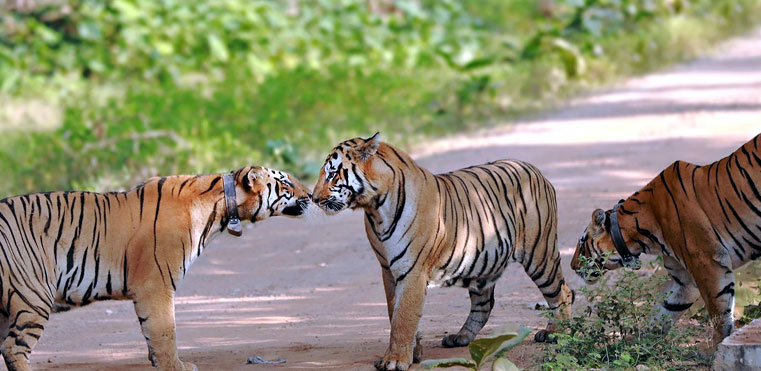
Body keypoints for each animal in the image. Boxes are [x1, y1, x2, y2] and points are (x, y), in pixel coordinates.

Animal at [0, 167, 312, 370]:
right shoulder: (157, 285)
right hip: (34, 295)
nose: (310, 193)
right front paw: (175, 366)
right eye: (286, 183)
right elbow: (165, 332)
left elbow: (152, 332)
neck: (223, 206)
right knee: (13, 347)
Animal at [312, 133, 572, 370]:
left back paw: (556, 333)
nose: (313, 198)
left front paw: (395, 360)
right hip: (484, 262)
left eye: (332, 173)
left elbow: (403, 317)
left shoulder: (412, 270)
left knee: (562, 292)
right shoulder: (387, 269)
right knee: (484, 304)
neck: (375, 209)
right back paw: (461, 337)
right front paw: (412, 352)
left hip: (539, 254)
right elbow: (394, 311)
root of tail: (534, 169)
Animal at [568, 134, 760, 348]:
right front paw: (635, 343)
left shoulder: (707, 261)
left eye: (582, 242)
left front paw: (714, 346)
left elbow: (719, 309)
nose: (571, 266)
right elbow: (663, 310)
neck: (641, 235)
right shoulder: (683, 279)